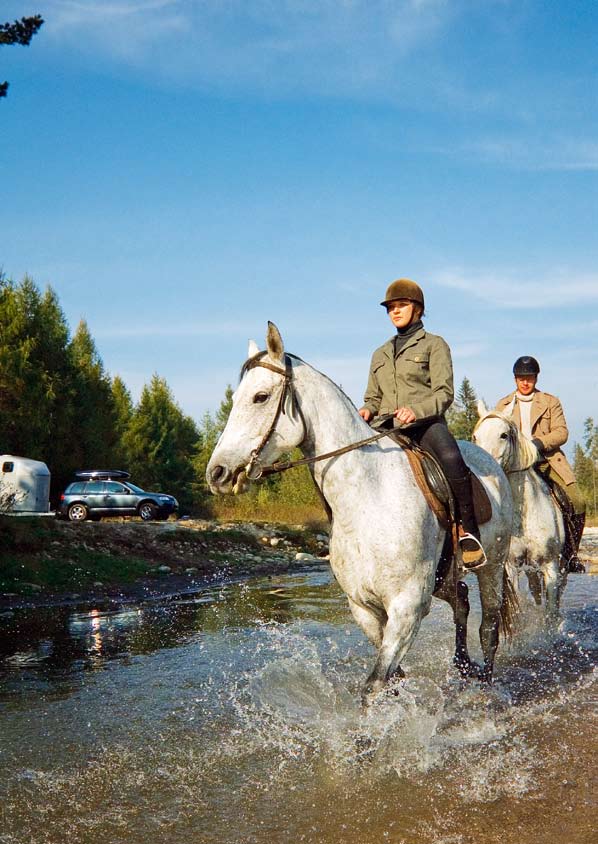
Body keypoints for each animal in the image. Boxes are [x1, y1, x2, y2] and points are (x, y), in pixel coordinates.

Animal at [207, 324, 516, 700]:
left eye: (260, 397)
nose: (217, 473)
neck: (369, 498)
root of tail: (490, 461)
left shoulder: (407, 606)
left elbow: (375, 683)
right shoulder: (364, 608)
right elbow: (392, 677)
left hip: (492, 566)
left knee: (489, 626)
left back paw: (485, 685)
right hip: (443, 576)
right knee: (462, 603)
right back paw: (463, 666)